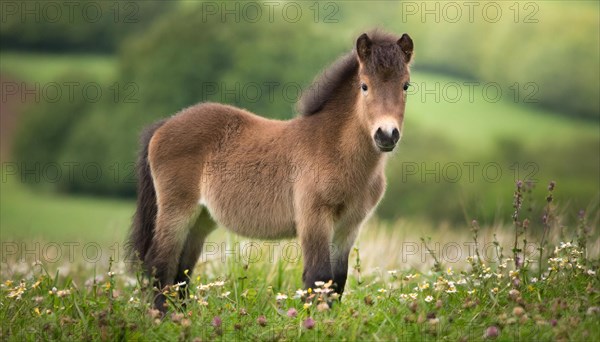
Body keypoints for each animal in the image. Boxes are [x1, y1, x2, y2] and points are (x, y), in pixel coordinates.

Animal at [129, 31, 414, 310]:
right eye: (364, 85)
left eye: (405, 85)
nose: (386, 134)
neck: (333, 148)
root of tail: (164, 125)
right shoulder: (314, 218)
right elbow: (318, 277)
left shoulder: (349, 226)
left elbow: (336, 283)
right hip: (177, 211)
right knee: (160, 264)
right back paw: (162, 316)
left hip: (201, 218)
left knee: (182, 271)